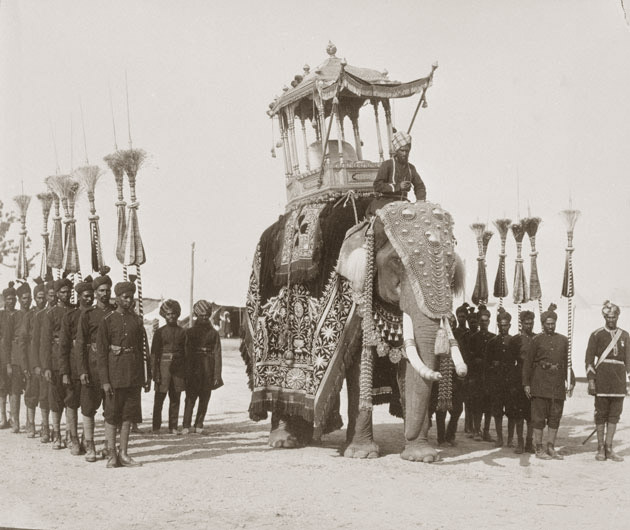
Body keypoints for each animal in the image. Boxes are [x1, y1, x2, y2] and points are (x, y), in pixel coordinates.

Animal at [242, 196, 470, 460]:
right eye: (396, 261)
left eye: (452, 266)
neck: (370, 223)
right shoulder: (351, 293)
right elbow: (359, 365)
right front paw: (361, 454)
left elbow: (408, 363)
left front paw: (420, 456)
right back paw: (284, 441)